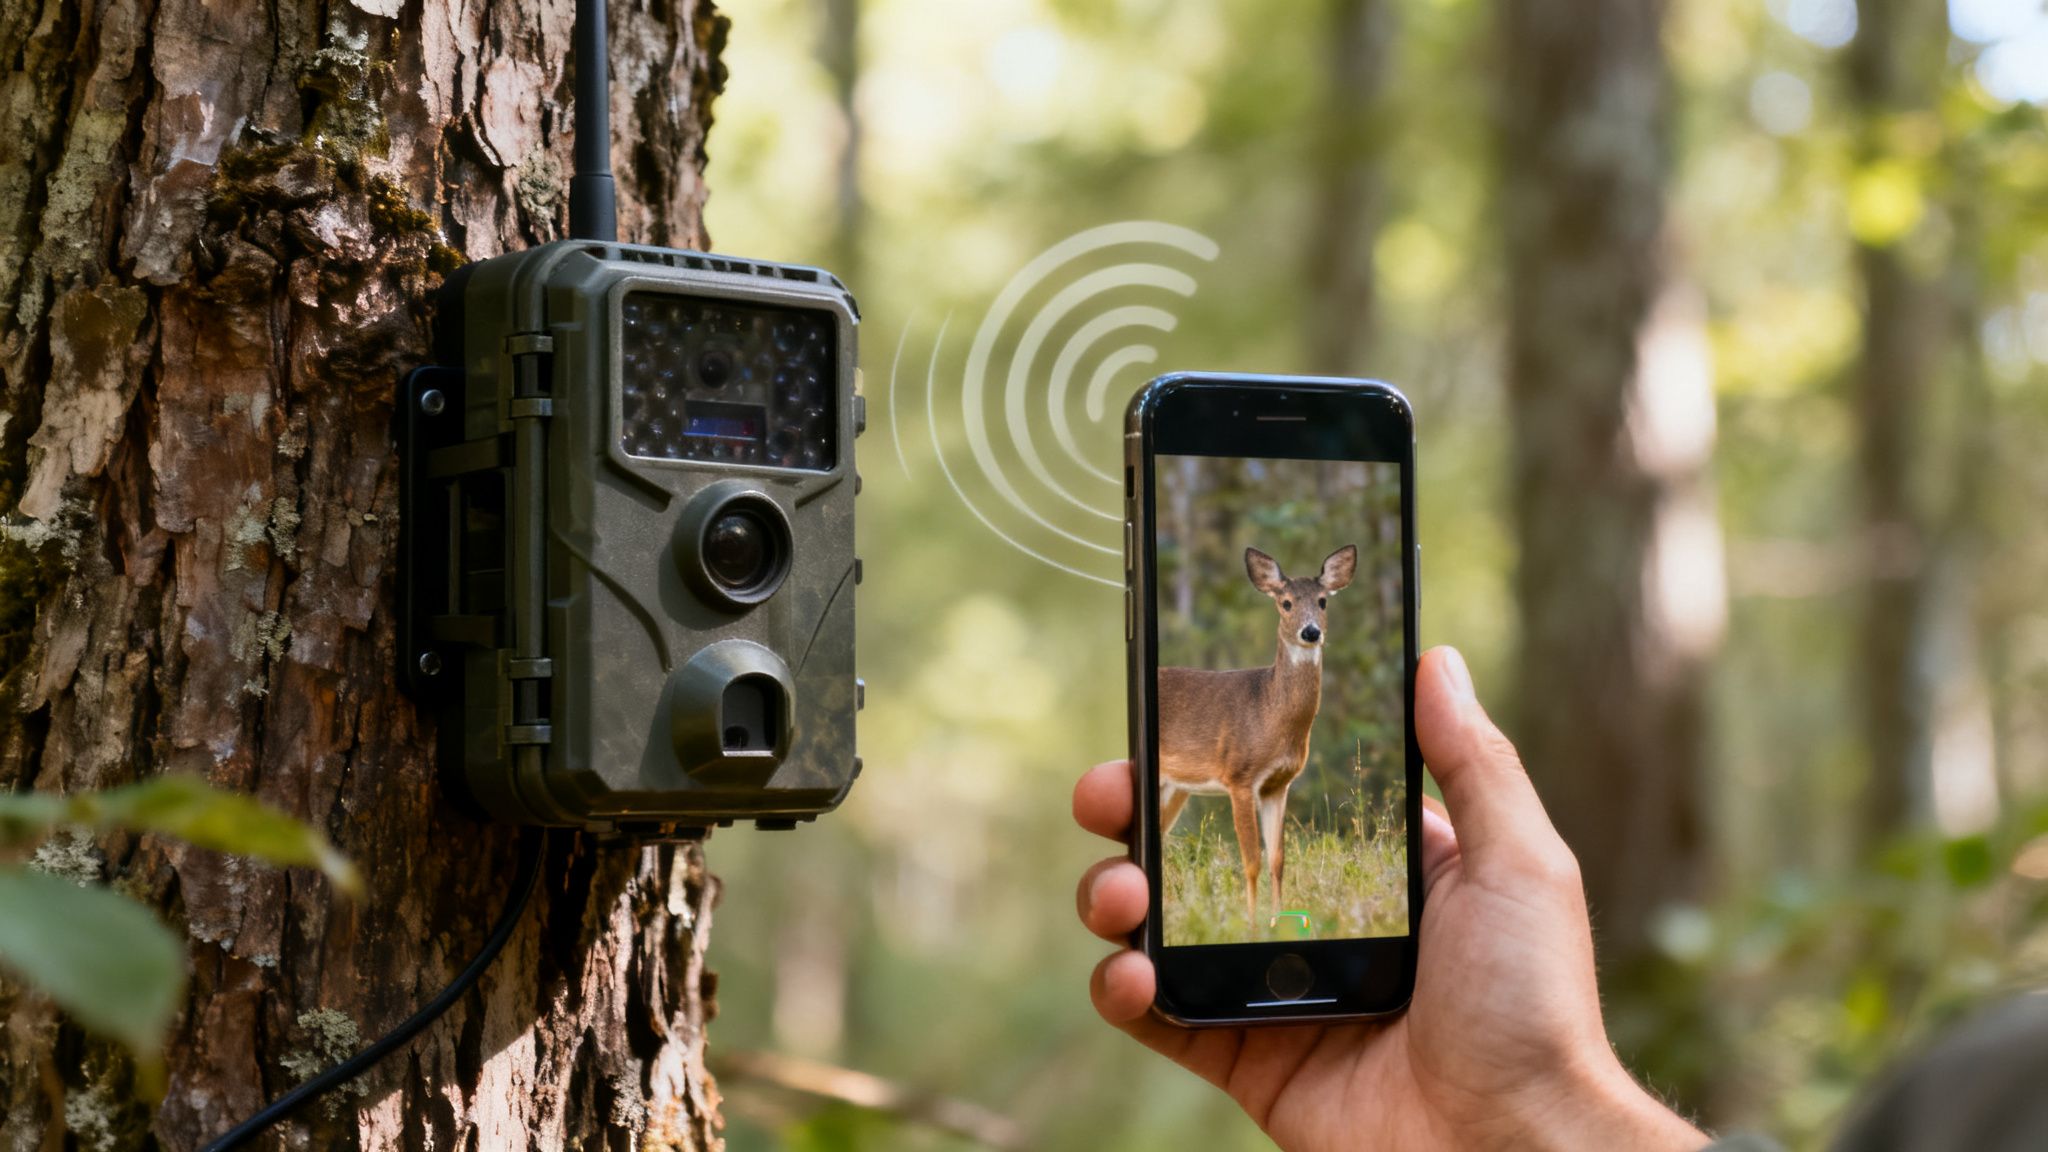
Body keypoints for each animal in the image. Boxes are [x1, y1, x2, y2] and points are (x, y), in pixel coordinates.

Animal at [1158, 544, 1357, 927]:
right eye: (1286, 603)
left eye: (1323, 601)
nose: (1311, 632)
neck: (1269, 713)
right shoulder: (1239, 776)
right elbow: (1251, 860)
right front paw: (1250, 924)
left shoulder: (1278, 784)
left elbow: (1277, 860)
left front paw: (1277, 922)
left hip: (1175, 786)